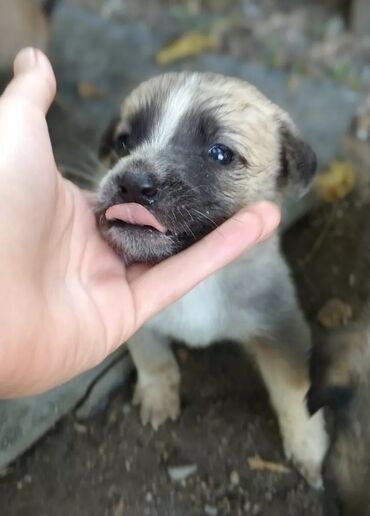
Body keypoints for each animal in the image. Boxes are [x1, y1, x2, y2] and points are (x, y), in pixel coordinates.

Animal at [94, 72, 326, 488]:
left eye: (220, 154)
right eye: (123, 143)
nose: (132, 183)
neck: (200, 284)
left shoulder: (282, 330)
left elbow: (296, 392)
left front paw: (307, 448)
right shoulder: (141, 325)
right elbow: (153, 357)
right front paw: (158, 397)